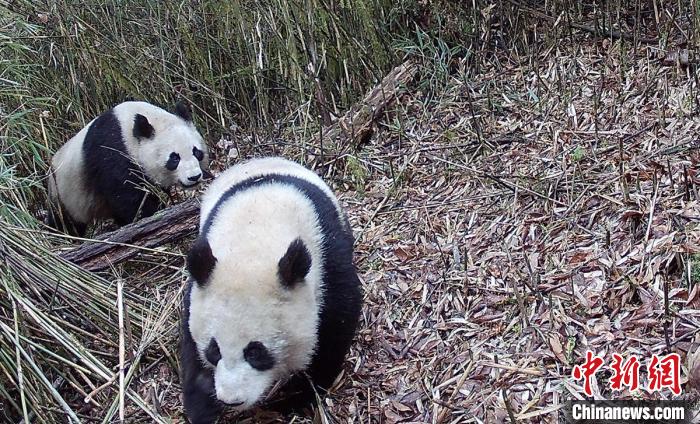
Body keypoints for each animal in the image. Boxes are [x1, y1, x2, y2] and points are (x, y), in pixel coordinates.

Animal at [47, 101, 208, 237]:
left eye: (196, 152)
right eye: (174, 158)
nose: (194, 177)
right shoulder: (112, 152)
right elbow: (127, 196)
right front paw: (152, 214)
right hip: (65, 193)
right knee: (64, 220)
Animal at [180, 157, 364, 422]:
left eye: (256, 352)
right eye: (214, 349)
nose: (232, 399)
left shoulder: (327, 256)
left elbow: (335, 326)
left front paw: (293, 398)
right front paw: (202, 406)